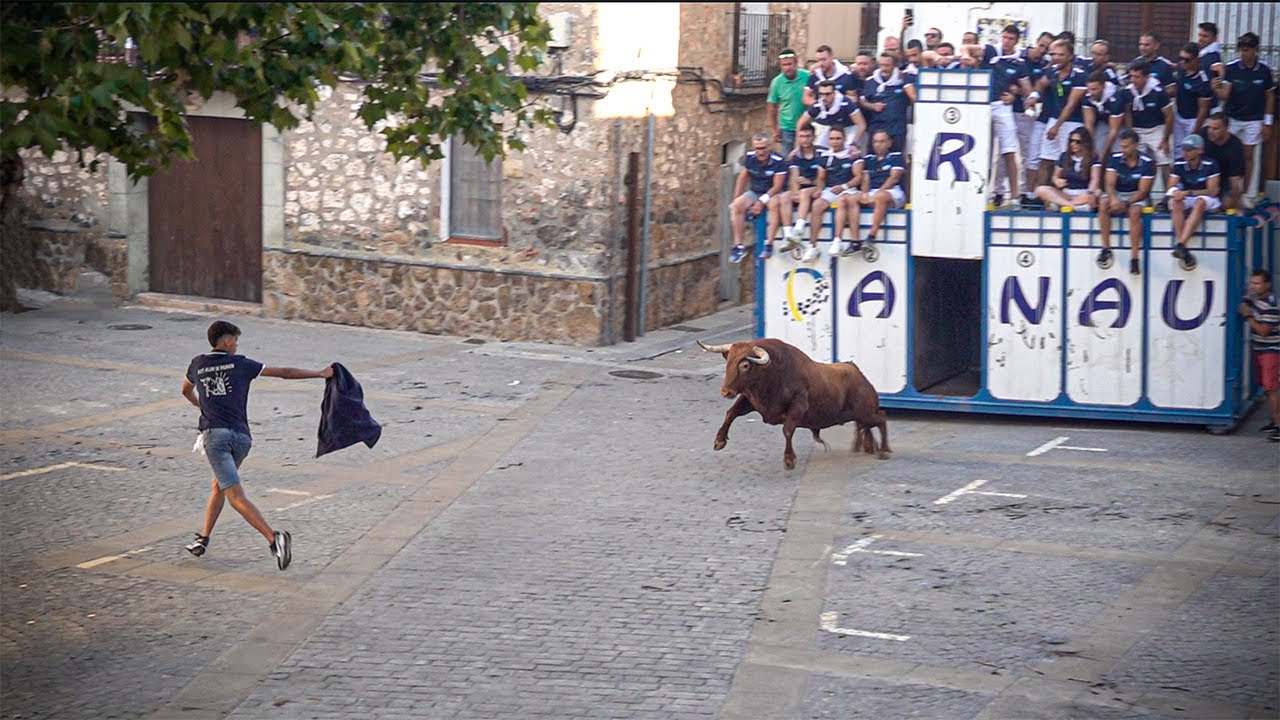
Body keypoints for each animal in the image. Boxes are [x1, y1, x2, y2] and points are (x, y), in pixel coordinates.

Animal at [698, 337, 890, 469]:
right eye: (728, 362)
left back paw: (883, 450)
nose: (726, 392)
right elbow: (731, 413)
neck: (772, 372)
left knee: (881, 418)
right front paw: (719, 441)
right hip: (861, 415)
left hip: (865, 412)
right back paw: (867, 447)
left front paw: (789, 459)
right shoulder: (750, 400)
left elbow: (788, 430)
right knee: (868, 425)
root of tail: (859, 373)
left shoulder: (798, 406)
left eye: (745, 365)